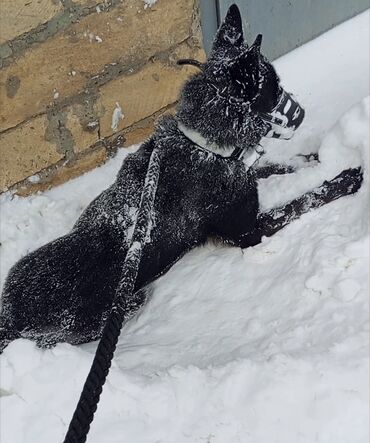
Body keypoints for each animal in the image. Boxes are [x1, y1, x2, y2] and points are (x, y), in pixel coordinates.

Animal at [0, 3, 362, 350]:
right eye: (275, 90)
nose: (302, 113)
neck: (200, 143)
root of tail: (8, 320)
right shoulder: (249, 232)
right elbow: (304, 200)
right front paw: (345, 178)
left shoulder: (242, 173)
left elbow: (278, 166)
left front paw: (316, 157)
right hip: (94, 321)